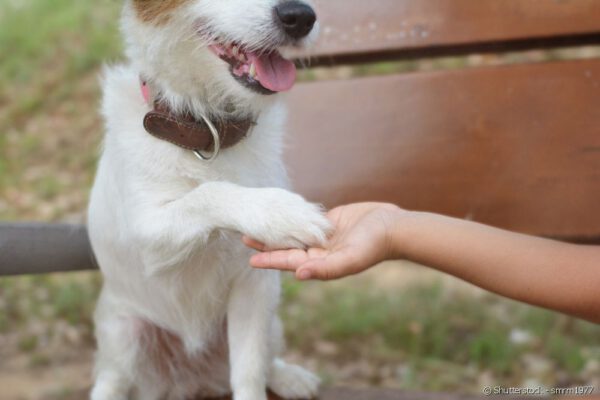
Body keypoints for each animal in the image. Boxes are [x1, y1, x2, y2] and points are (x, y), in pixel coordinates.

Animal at [88, 1, 332, 398]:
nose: (301, 17)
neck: (207, 128)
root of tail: (191, 375)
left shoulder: (254, 288)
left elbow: (249, 373)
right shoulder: (147, 232)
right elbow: (208, 192)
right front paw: (281, 213)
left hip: (270, 322)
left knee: (266, 362)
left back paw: (290, 377)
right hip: (123, 332)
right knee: (112, 378)